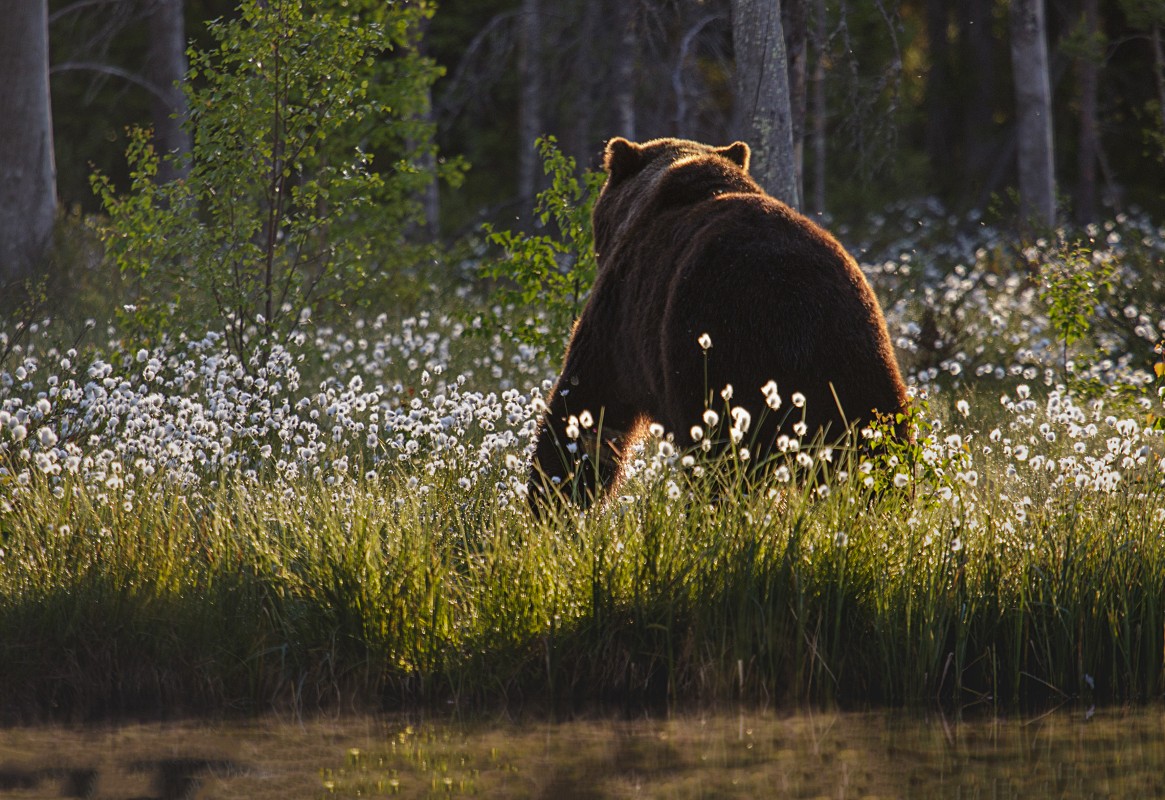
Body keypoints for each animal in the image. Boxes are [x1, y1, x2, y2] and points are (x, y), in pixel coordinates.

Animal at [531, 138, 908, 510]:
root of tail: (796, 306)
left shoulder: (620, 312)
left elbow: (587, 402)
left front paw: (552, 497)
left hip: (722, 349)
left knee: (719, 462)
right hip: (857, 356)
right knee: (876, 450)